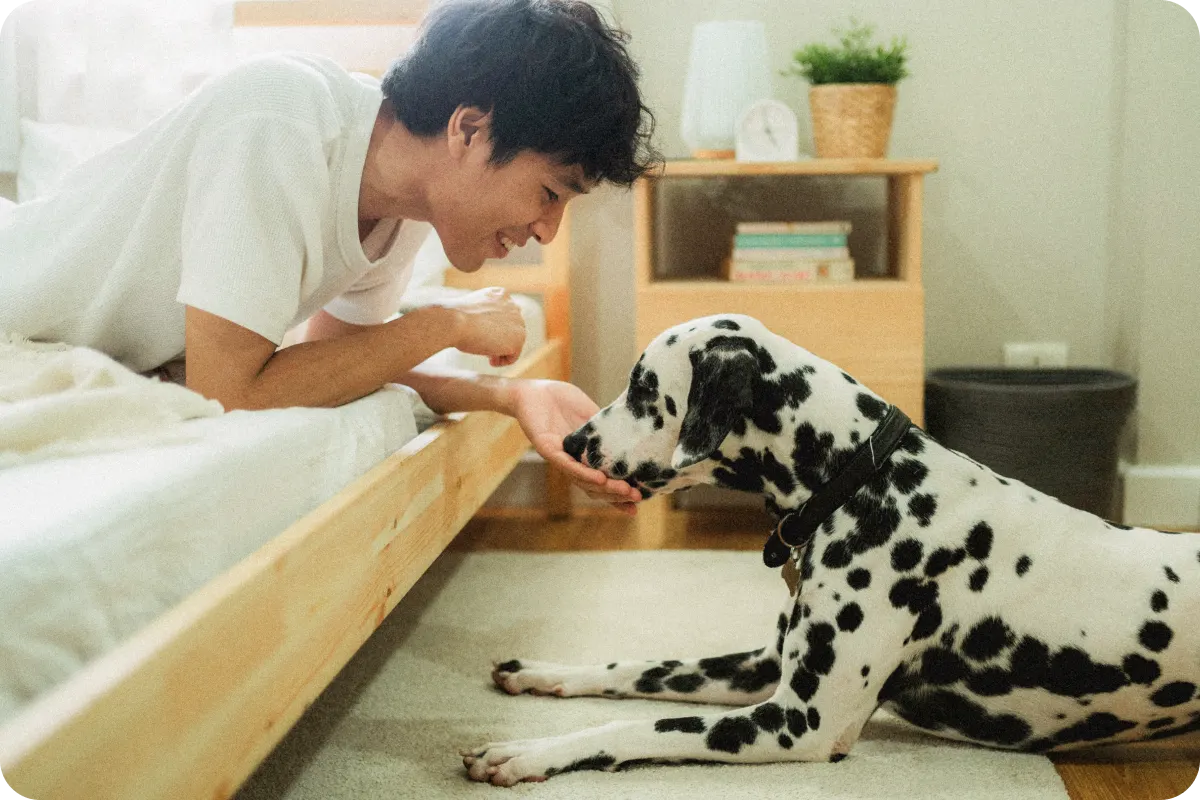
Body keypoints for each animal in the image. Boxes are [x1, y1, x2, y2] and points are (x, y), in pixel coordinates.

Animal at [460, 311, 1200, 786]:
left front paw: (526, 753)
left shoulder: (798, 721)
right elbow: (636, 667)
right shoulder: (763, 668)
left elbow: (635, 729)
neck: (862, 480)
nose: (572, 441)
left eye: (644, 388)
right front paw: (541, 673)